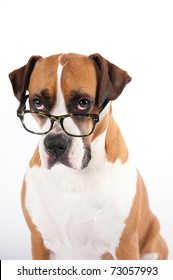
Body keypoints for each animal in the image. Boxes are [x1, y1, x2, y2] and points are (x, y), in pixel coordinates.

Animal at [8, 53, 168, 260]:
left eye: (83, 103)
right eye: (38, 102)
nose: (55, 144)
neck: (72, 178)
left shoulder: (125, 246)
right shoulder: (39, 243)